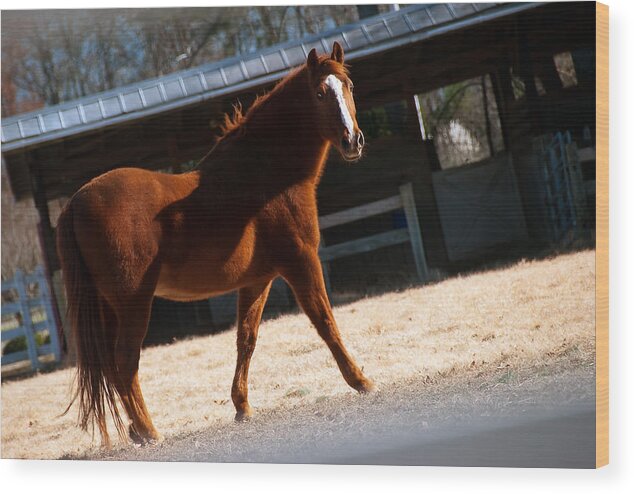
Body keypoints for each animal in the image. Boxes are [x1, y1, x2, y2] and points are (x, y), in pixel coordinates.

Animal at [56, 40, 372, 446]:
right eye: (319, 94)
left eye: (349, 87)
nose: (353, 141)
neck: (265, 174)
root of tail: (77, 200)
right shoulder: (301, 262)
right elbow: (325, 321)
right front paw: (361, 381)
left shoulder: (259, 279)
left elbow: (246, 339)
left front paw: (242, 406)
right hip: (132, 304)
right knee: (125, 362)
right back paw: (150, 431)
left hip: (109, 308)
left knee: (112, 366)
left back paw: (138, 430)